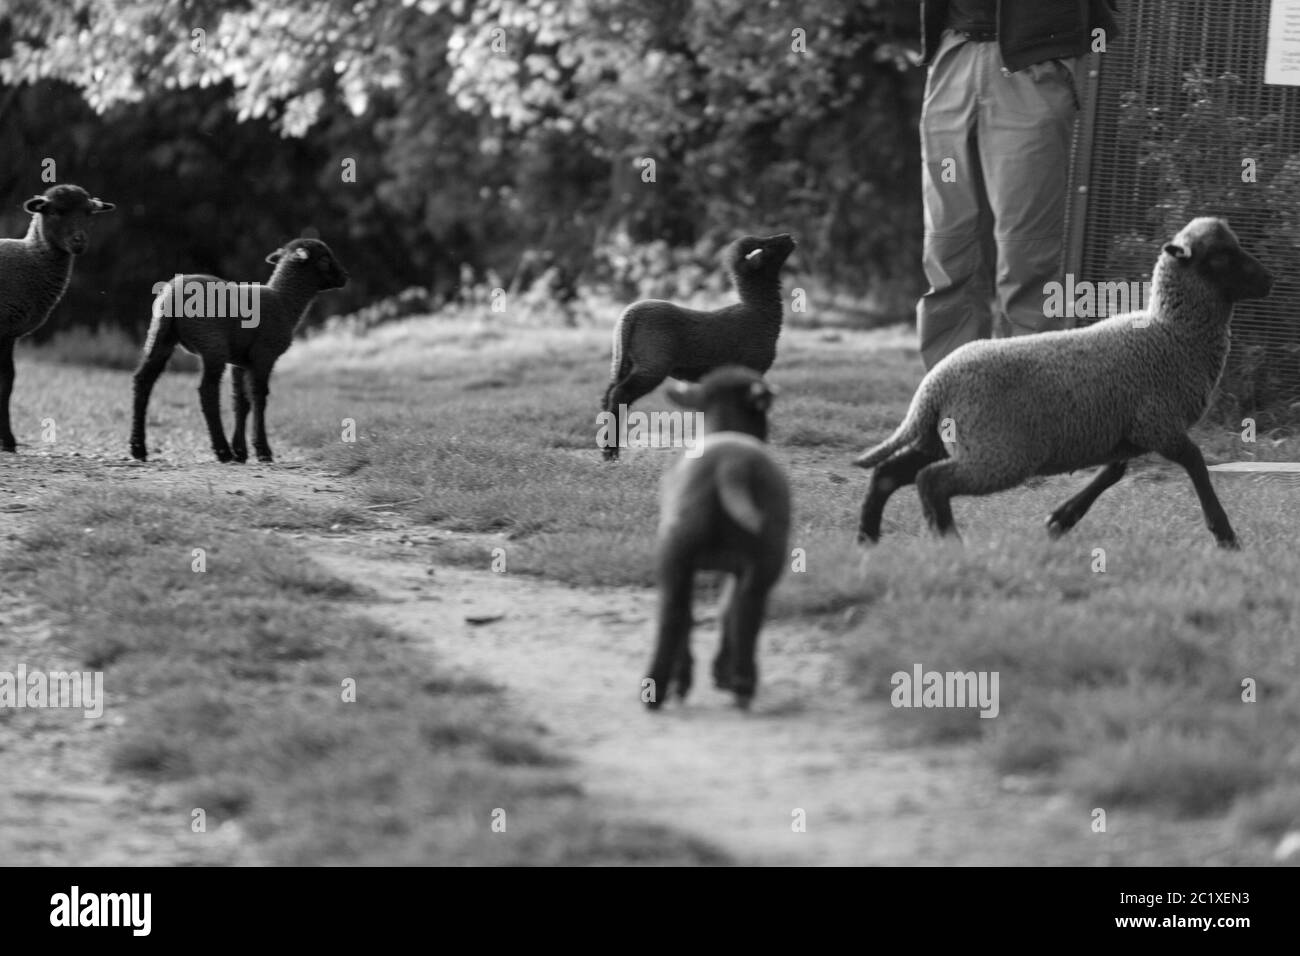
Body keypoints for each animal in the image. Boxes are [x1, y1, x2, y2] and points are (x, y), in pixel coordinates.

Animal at [0, 187, 115, 455]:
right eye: (56, 211)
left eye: (88, 213)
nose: (79, 241)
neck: (30, 260)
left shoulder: (10, 334)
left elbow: (8, 381)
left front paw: (7, 441)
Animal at [129, 238, 348, 463]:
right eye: (324, 259)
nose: (345, 276)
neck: (284, 302)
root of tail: (172, 295)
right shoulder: (264, 354)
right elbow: (259, 397)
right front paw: (262, 450)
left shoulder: (241, 362)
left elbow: (241, 402)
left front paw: (241, 451)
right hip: (212, 342)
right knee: (208, 391)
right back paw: (222, 450)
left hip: (160, 335)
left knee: (143, 381)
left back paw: (138, 447)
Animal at [595, 238, 790, 465]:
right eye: (768, 245)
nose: (789, 237)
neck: (759, 311)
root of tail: (630, 315)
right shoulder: (751, 369)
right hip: (652, 365)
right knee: (620, 393)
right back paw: (611, 453)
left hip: (624, 360)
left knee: (608, 395)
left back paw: (606, 450)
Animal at [642, 366, 785, 712]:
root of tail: (732, 463)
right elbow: (724, 610)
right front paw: (719, 671)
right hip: (763, 561)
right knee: (744, 614)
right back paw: (740, 683)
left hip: (675, 553)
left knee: (676, 613)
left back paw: (663, 687)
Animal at [852, 214, 1268, 546]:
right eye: (1220, 256)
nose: (1270, 279)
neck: (1172, 334)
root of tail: (933, 385)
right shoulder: (1159, 424)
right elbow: (1196, 463)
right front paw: (1225, 534)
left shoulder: (1124, 431)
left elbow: (1114, 471)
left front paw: (1060, 520)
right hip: (997, 452)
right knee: (930, 481)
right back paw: (948, 541)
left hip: (945, 439)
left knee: (888, 474)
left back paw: (868, 538)